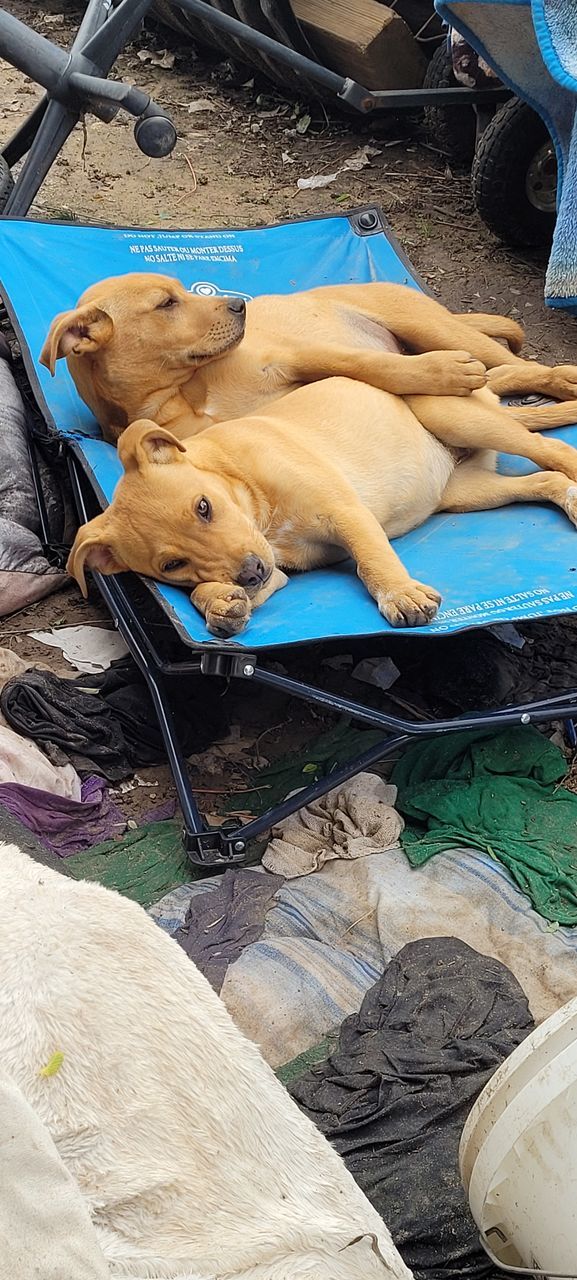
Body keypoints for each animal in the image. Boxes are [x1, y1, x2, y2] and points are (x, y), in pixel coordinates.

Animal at [39, 273, 577, 445]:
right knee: (501, 377)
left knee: (514, 365)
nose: (241, 307)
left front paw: (438, 371)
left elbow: (372, 365)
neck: (186, 391)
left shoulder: (299, 355)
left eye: (180, 292)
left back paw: (562, 379)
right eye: (167, 304)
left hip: (431, 325)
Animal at [67, 378, 577, 640]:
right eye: (172, 565)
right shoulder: (275, 569)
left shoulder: (344, 510)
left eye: (204, 507)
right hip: (464, 491)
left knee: (550, 451)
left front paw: (401, 595)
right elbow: (218, 591)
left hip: (460, 417)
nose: (249, 573)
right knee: (545, 479)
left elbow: (372, 560)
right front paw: (218, 603)